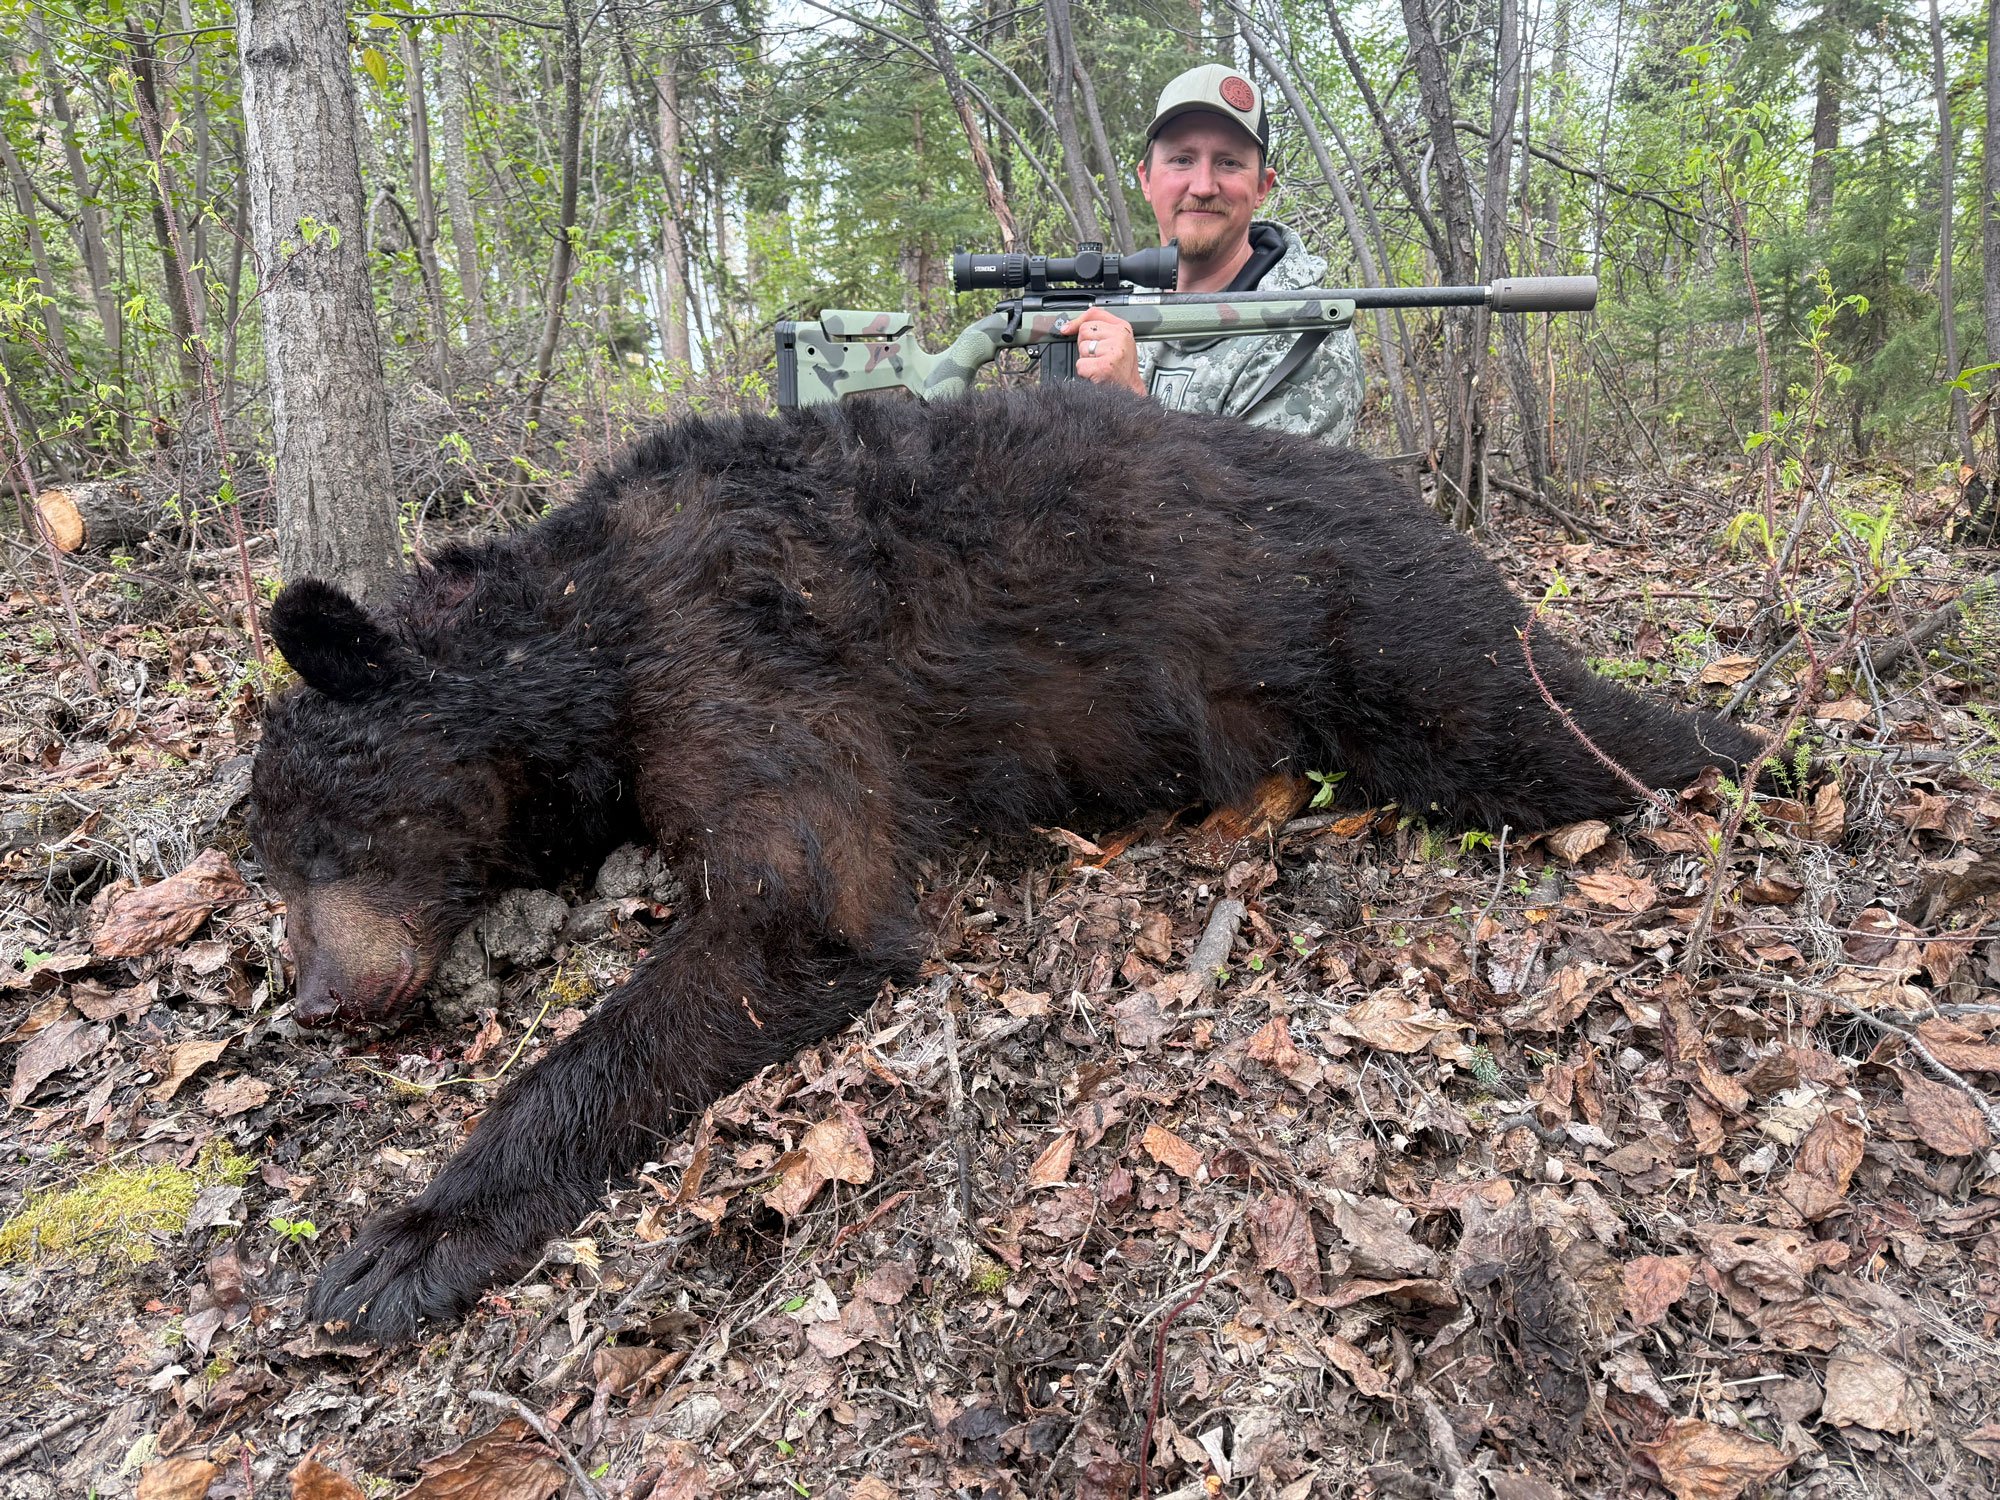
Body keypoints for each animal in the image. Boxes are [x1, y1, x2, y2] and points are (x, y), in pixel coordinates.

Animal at [251, 381, 1763, 1341]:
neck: (583, 627)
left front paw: (404, 1244)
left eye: (328, 827)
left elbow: (798, 915)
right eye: (266, 862)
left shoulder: (737, 665)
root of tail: (1418, 495)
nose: (317, 999)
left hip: (1387, 633)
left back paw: (1746, 740)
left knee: (1559, 731)